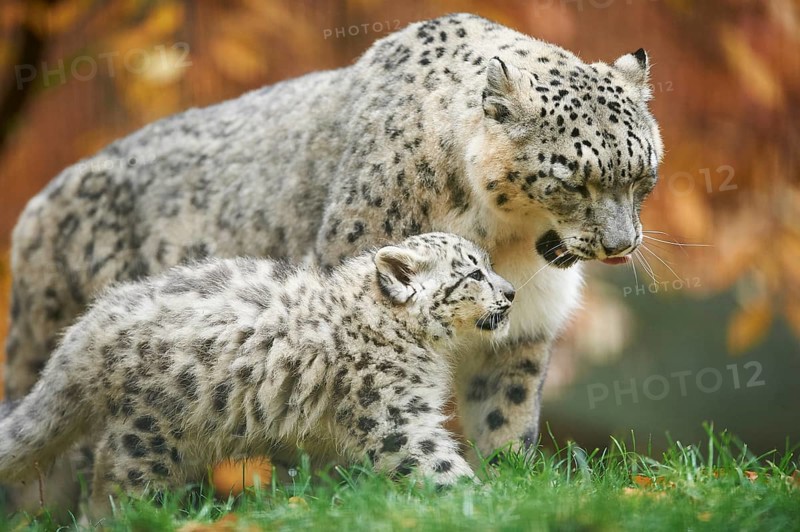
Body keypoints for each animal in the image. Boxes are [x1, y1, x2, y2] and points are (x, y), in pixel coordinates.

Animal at [0, 233, 515, 517]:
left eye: (489, 266)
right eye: (473, 274)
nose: (510, 291)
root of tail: (92, 322)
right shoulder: (395, 416)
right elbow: (434, 461)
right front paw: (482, 498)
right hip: (147, 438)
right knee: (116, 485)